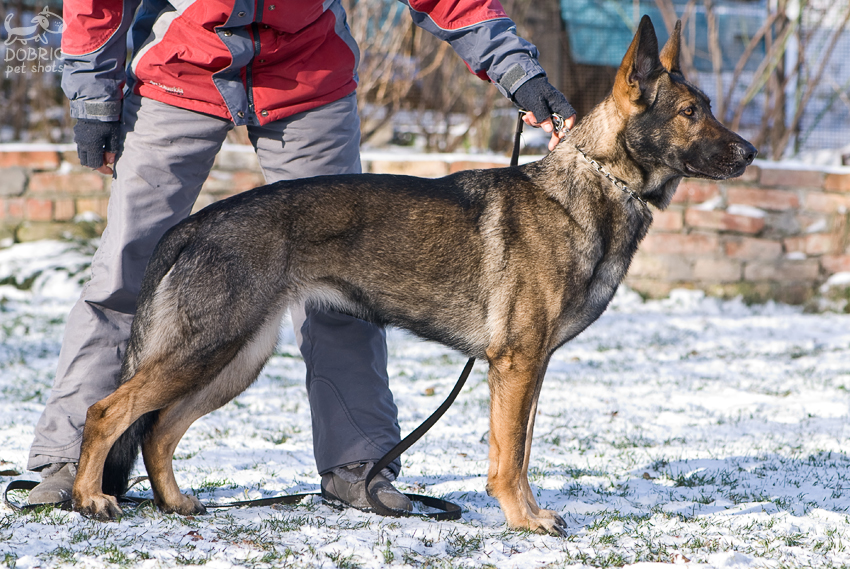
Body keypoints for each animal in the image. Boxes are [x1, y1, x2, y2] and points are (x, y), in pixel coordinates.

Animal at [69, 15, 752, 536]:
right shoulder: (517, 365)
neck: (594, 185)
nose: (749, 154)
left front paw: (527, 515)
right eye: (690, 111)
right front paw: (524, 520)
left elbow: (521, 449)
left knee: (159, 429)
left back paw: (174, 503)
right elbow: (510, 458)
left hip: (236, 358)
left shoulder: (531, 368)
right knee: (108, 411)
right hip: (208, 348)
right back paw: (90, 498)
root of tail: (193, 225)